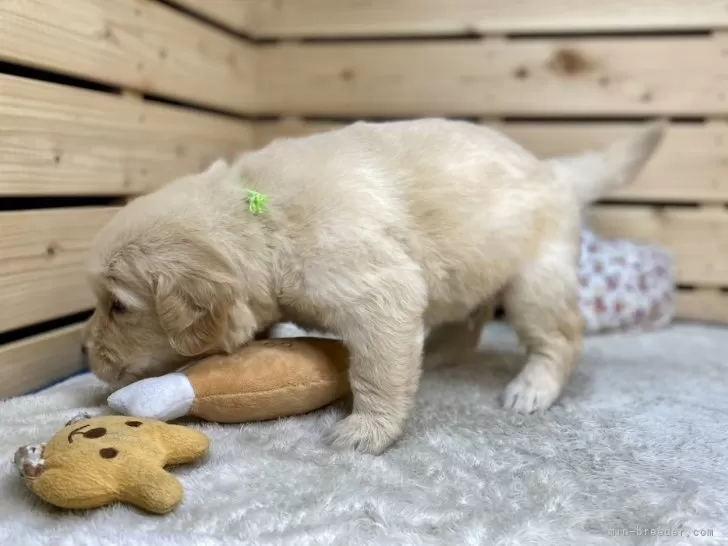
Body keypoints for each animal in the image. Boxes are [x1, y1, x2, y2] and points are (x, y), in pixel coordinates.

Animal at [85, 118, 664, 450]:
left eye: (118, 306)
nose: (86, 351)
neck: (261, 217)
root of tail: (553, 171)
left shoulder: (380, 293)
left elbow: (377, 372)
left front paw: (369, 430)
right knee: (468, 323)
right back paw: (441, 354)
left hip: (534, 284)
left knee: (560, 338)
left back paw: (533, 388)